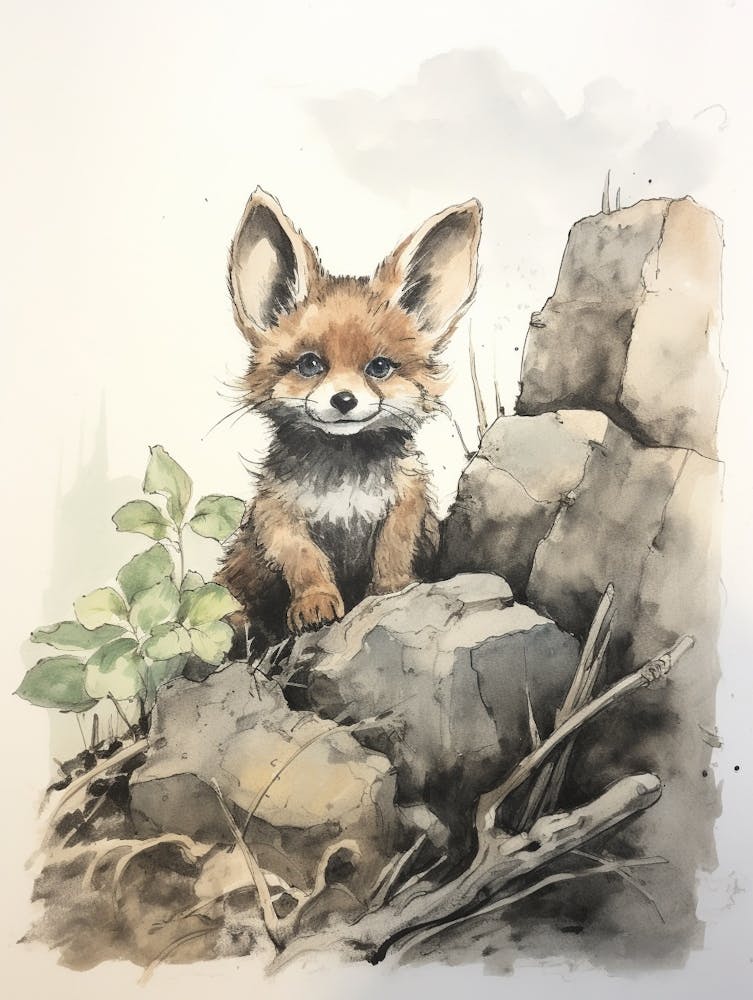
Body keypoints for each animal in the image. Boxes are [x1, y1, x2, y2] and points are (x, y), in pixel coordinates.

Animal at [216, 187, 482, 647]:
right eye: (310, 364)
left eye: (379, 367)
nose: (344, 400)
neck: (344, 485)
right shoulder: (277, 516)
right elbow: (305, 560)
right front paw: (315, 603)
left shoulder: (405, 505)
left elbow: (392, 551)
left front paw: (392, 590)